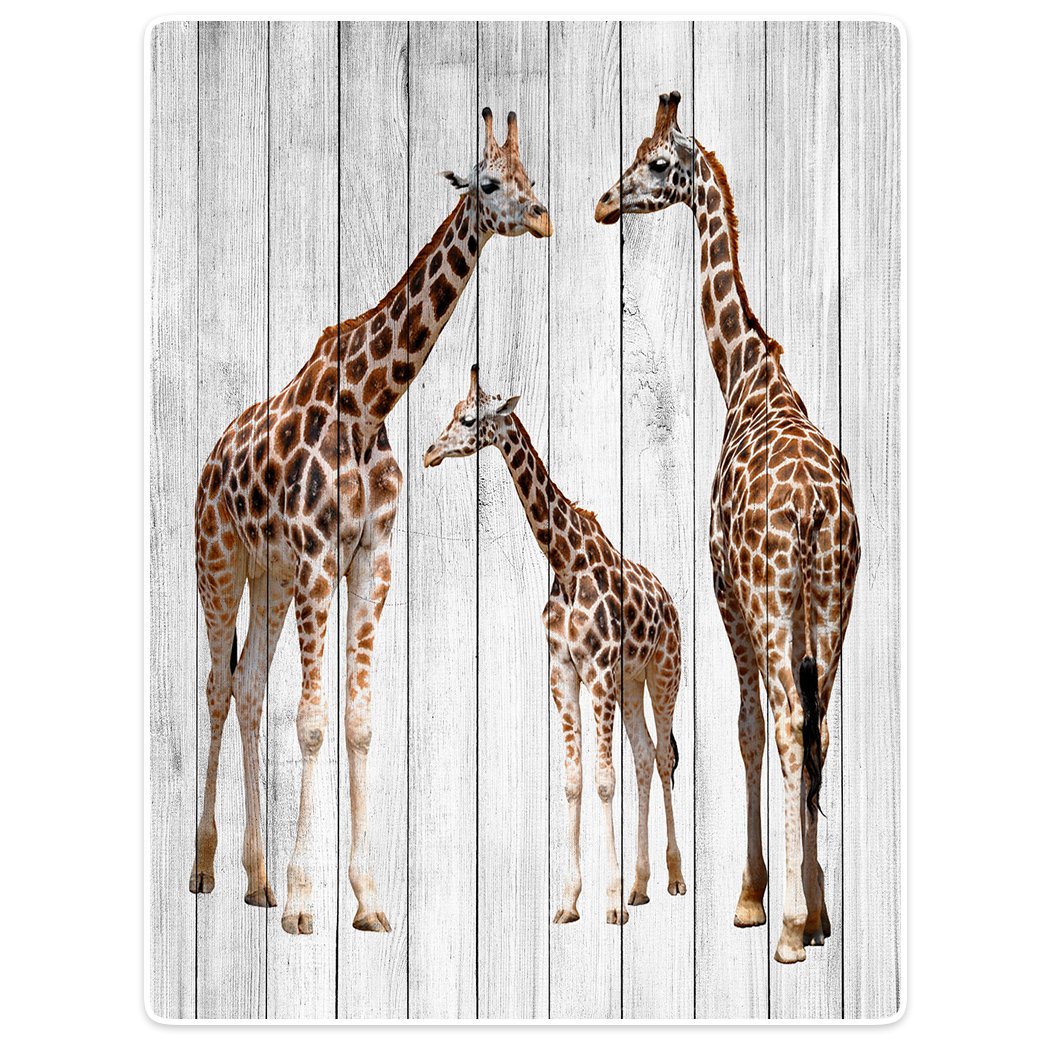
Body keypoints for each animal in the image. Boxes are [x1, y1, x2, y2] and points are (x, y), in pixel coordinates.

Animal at [189, 109, 551, 936]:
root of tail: (211, 457)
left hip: (272, 574)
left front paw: (367, 899)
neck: (367, 401)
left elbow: (356, 721)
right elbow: (313, 720)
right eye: (489, 183)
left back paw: (254, 880)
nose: (543, 217)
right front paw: (303, 904)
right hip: (219, 561)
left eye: (533, 177)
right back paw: (205, 870)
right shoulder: (321, 554)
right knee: (219, 687)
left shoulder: (367, 557)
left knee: (249, 687)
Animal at [423, 368, 686, 925]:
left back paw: (673, 879)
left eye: (469, 419)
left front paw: (609, 902)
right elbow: (573, 779)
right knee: (645, 757)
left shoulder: (600, 670)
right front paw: (570, 900)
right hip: (632, 683)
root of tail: (671, 602)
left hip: (663, 673)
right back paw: (642, 885)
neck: (565, 563)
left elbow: (605, 779)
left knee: (664, 757)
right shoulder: (563, 671)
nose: (430, 452)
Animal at [596, 92, 860, 963]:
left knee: (785, 725)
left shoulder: (726, 594)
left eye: (653, 163)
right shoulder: (796, 610)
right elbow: (792, 733)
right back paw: (815, 916)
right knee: (816, 729)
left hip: (775, 600)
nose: (603, 202)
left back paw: (782, 931)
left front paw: (755, 900)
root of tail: (813, 505)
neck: (747, 377)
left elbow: (746, 729)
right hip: (835, 600)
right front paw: (812, 906)